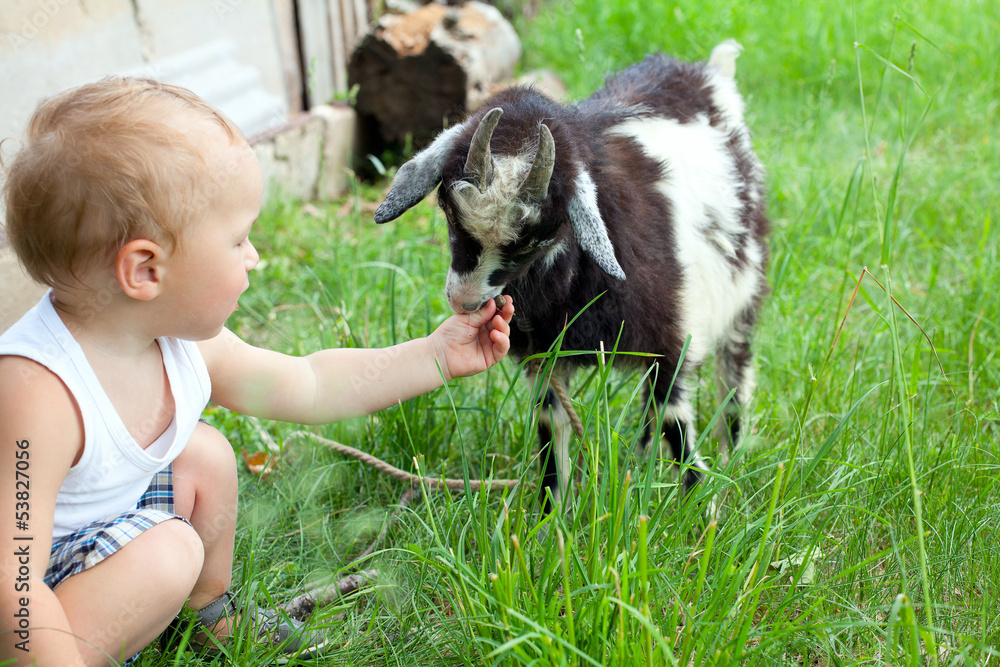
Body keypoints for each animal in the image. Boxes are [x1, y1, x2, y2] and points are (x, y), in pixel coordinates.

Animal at [372, 40, 768, 506]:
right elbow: (552, 432)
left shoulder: (671, 339)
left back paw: (732, 453)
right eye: (450, 211)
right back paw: (642, 462)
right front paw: (550, 515)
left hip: (742, 289)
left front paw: (697, 508)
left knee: (733, 372)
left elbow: (675, 420)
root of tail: (710, 71)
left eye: (539, 236)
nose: (464, 301)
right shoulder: (545, 357)